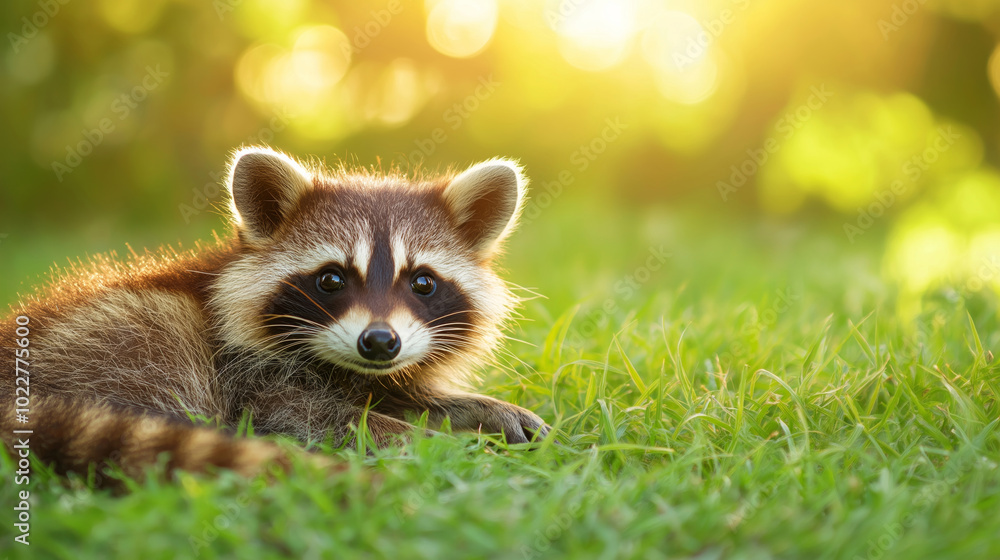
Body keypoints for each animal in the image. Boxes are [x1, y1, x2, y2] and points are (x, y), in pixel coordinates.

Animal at [0, 146, 549, 481]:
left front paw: (469, 408)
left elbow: (394, 393)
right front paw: (433, 442)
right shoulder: (243, 372)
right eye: (331, 279)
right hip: (125, 334)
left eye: (423, 283)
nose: (379, 342)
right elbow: (307, 415)